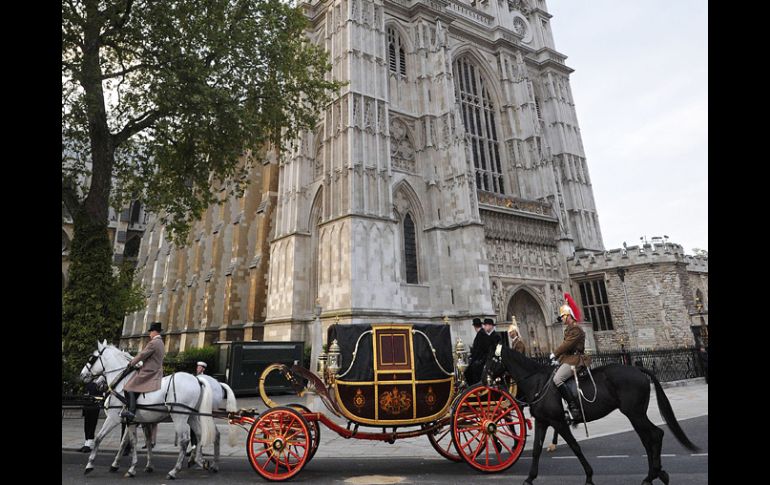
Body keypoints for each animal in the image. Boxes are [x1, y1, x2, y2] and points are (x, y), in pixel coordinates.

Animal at [80, 338, 216, 478]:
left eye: (92, 358)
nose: (82, 375)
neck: (123, 382)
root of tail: (197, 380)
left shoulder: (113, 419)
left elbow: (99, 438)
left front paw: (90, 465)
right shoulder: (134, 421)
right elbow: (131, 442)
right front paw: (125, 465)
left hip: (180, 417)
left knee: (184, 440)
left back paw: (175, 470)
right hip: (192, 416)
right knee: (199, 435)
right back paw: (200, 461)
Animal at [484, 344, 700, 484]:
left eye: (491, 360)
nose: (484, 381)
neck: (537, 382)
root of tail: (637, 368)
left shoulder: (558, 421)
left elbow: (575, 446)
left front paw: (589, 476)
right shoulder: (542, 421)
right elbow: (537, 449)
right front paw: (529, 478)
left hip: (635, 413)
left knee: (654, 435)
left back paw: (654, 474)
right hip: (636, 413)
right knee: (649, 438)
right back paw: (655, 474)